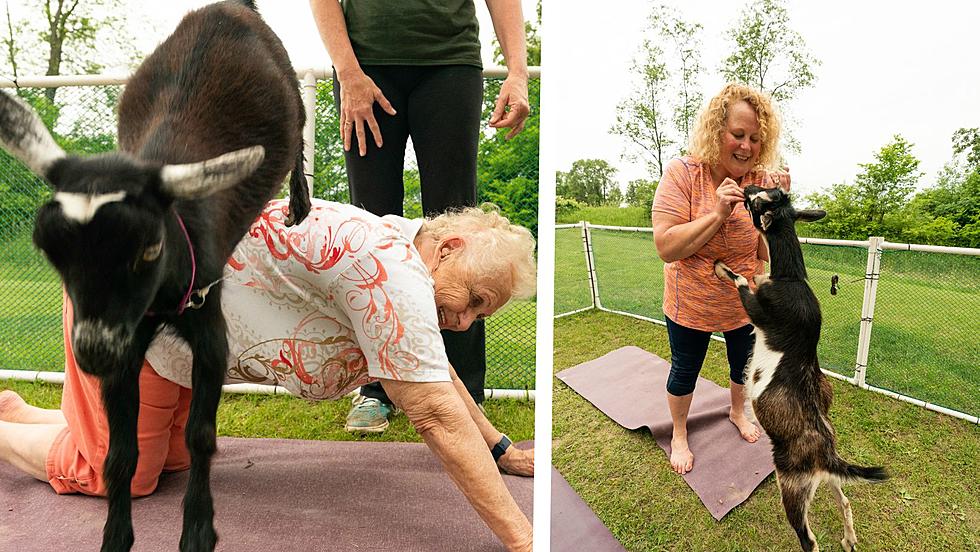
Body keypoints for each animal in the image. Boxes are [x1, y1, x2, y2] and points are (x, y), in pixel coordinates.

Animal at [0, 1, 310, 552]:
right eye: (48, 250)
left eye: (150, 248)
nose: (93, 353)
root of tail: (232, 9)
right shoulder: (127, 345)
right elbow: (120, 455)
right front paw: (115, 537)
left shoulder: (209, 330)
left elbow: (200, 435)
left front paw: (198, 531)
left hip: (289, 84)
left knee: (299, 130)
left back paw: (299, 203)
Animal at [712, 187, 888, 552]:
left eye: (756, 200)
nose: (746, 187)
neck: (790, 277)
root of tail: (825, 456)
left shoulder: (757, 309)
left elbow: (741, 279)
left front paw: (722, 267)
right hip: (829, 480)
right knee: (845, 502)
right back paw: (849, 539)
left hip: (793, 487)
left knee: (809, 540)